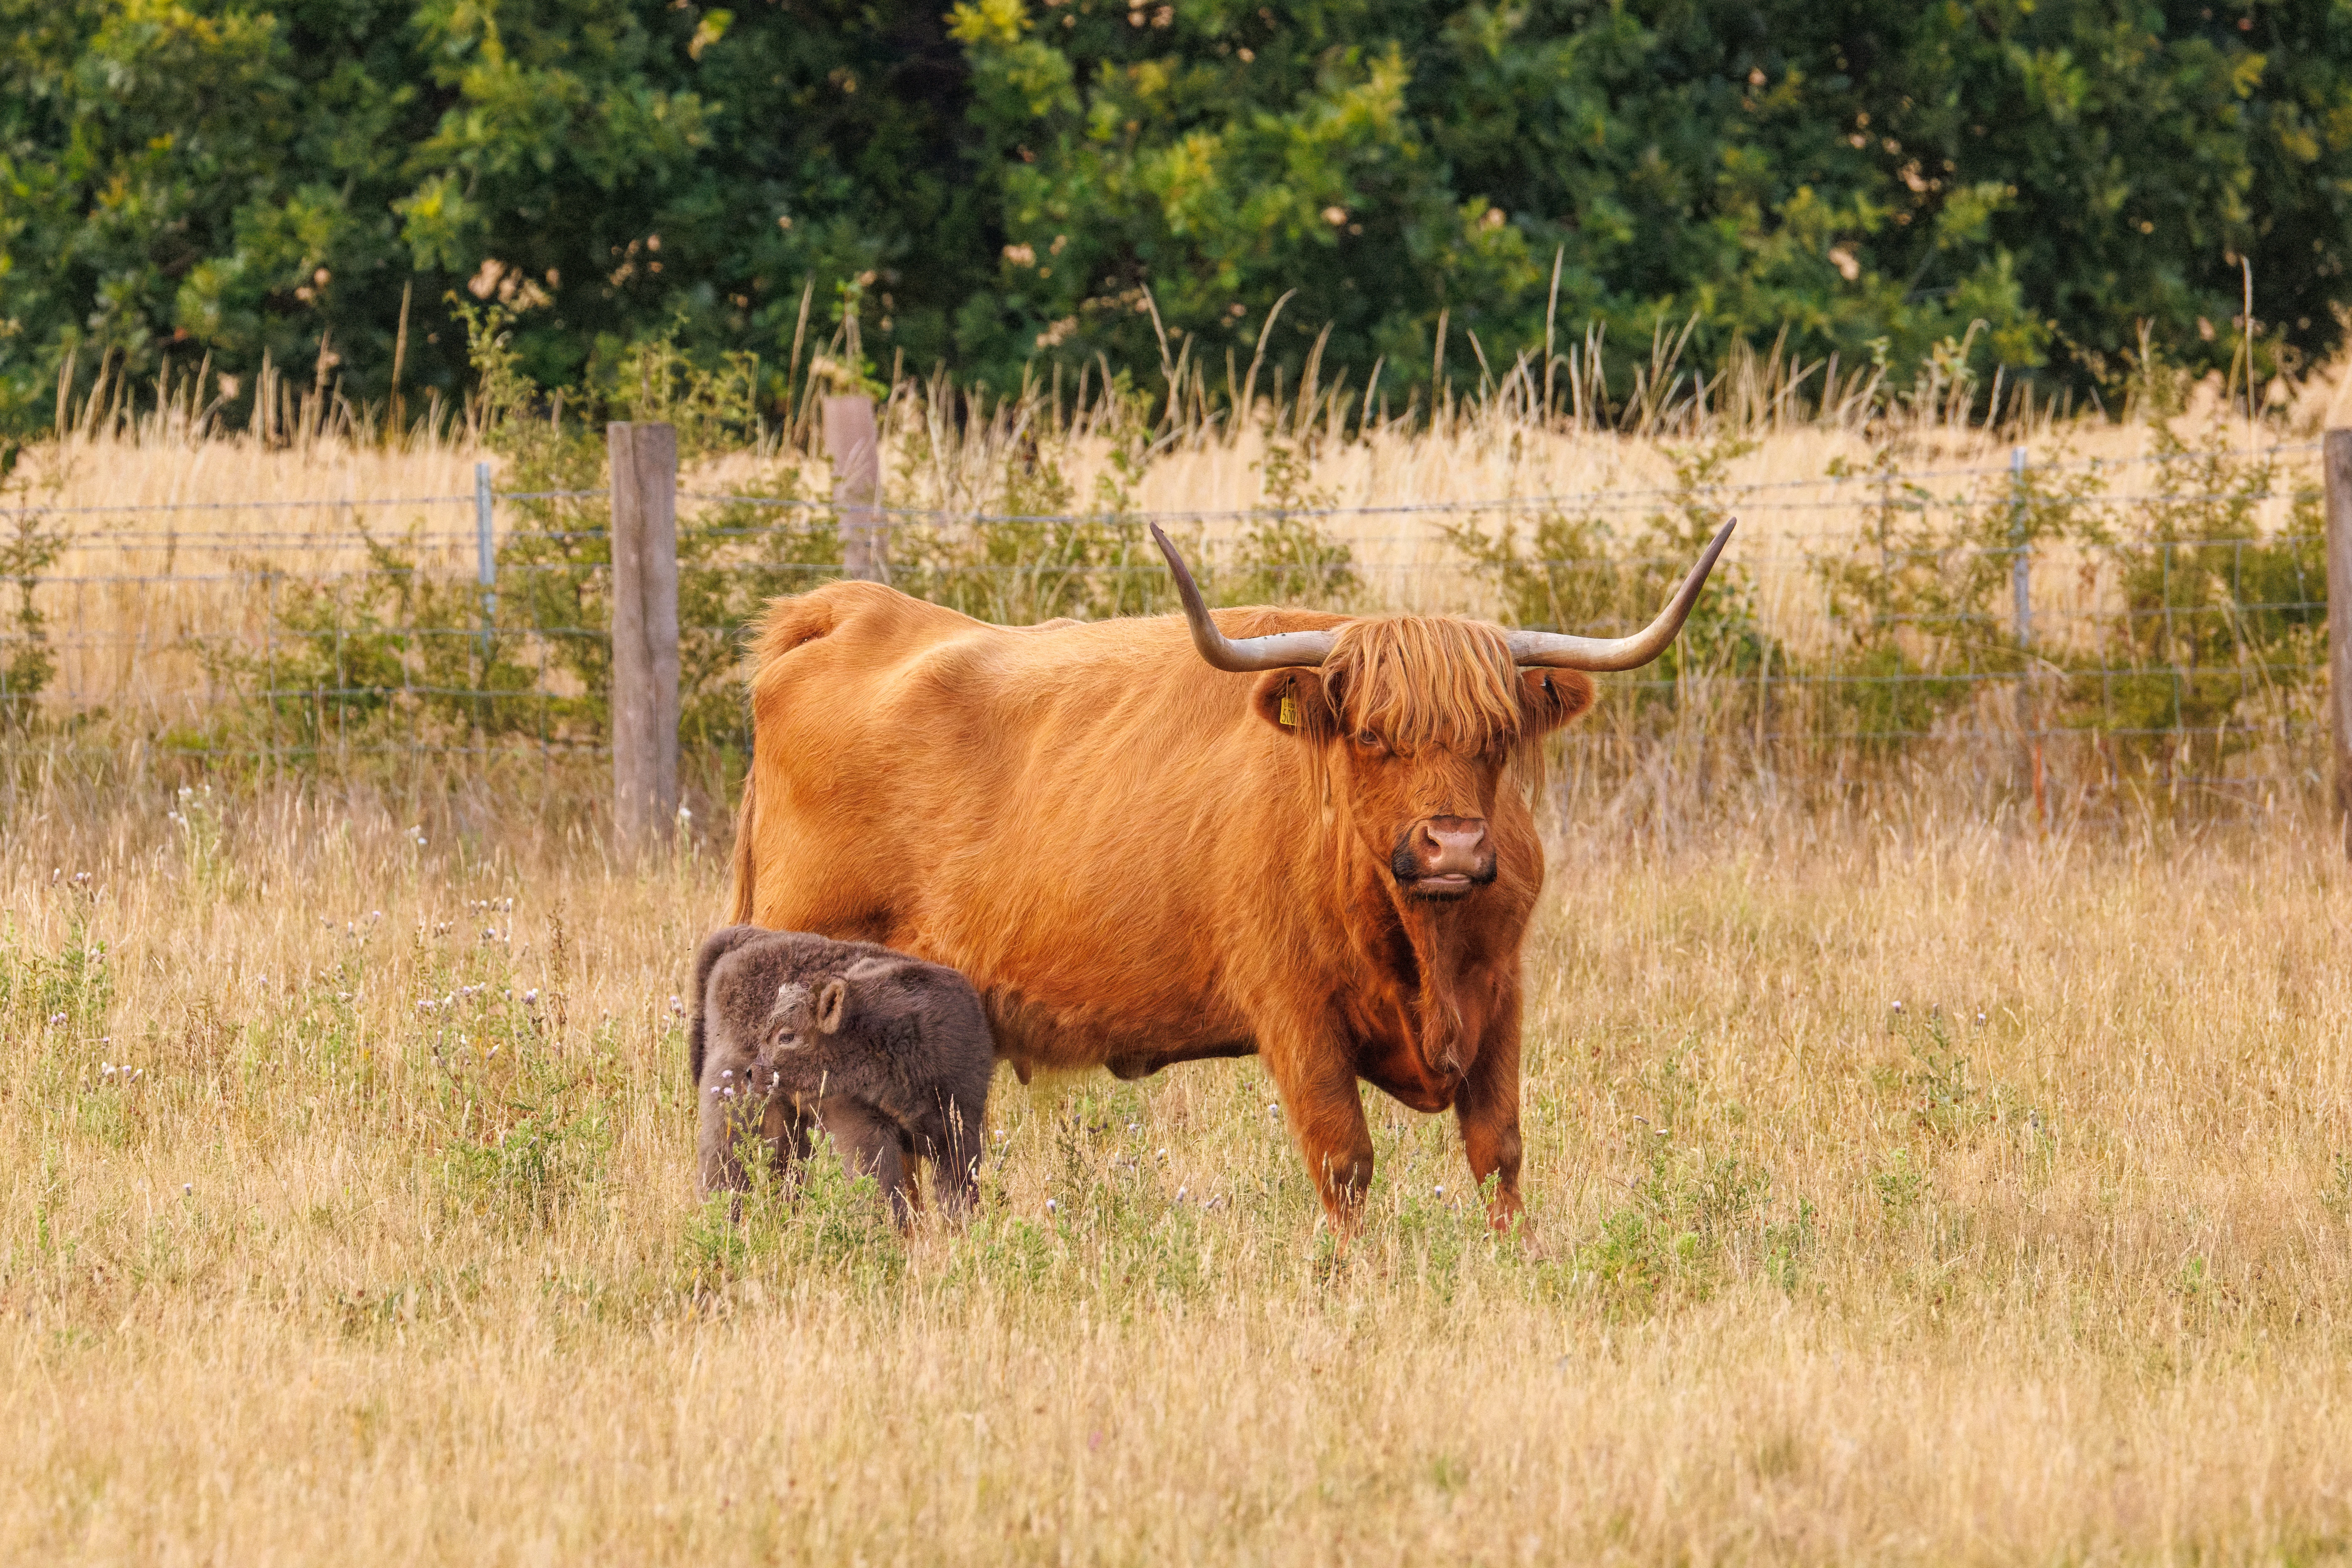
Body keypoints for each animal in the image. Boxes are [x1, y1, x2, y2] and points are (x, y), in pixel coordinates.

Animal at [727, 518, 1734, 1239]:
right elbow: (1343, 1159)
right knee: (769, 1119)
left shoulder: (1501, 993)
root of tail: (853, 612)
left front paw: (1513, 1263)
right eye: (1372, 735)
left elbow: (1499, 1150)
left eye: (1494, 737)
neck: (1419, 944)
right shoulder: (1293, 1008)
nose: (1451, 846)